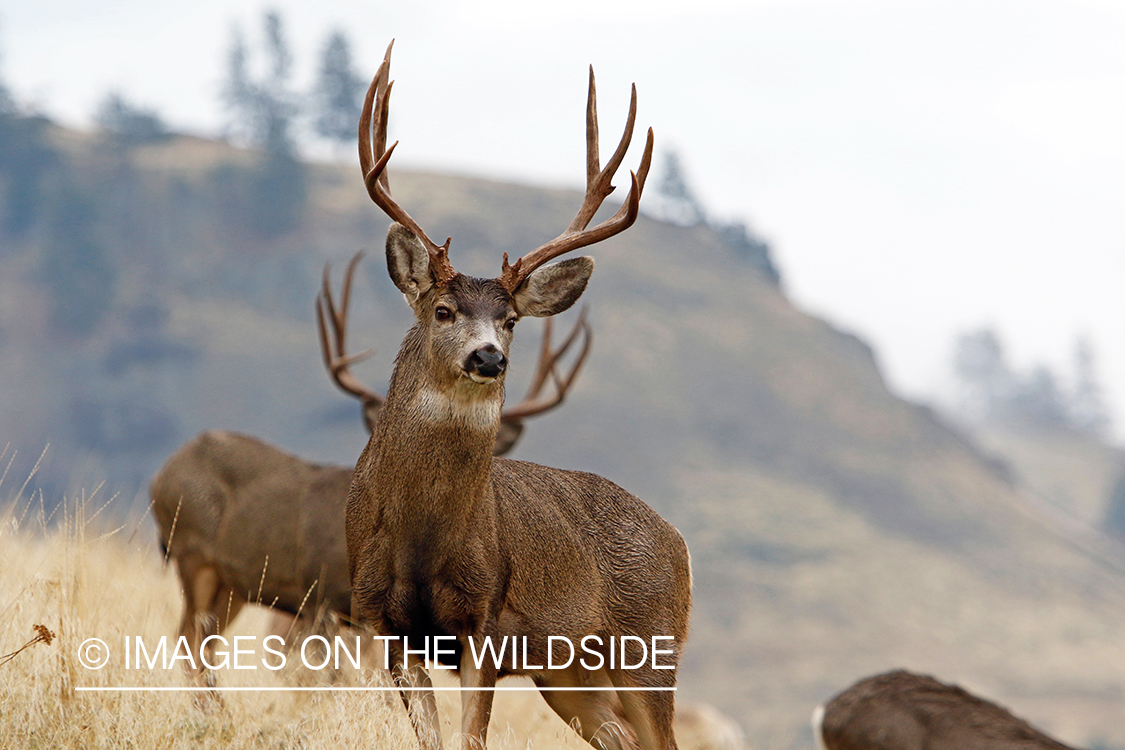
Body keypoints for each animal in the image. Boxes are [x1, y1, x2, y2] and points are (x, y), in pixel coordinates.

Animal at [149, 255, 589, 688]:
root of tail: (163, 473)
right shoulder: (322, 595)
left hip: (231, 585)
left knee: (203, 642)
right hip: (192, 552)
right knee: (189, 638)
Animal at [346, 42, 688, 750]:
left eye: (510, 321)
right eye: (444, 310)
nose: (489, 357)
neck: (421, 540)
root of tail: (679, 541)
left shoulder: (486, 620)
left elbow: (471, 738)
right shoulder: (382, 624)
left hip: (652, 647)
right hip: (572, 675)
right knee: (617, 737)